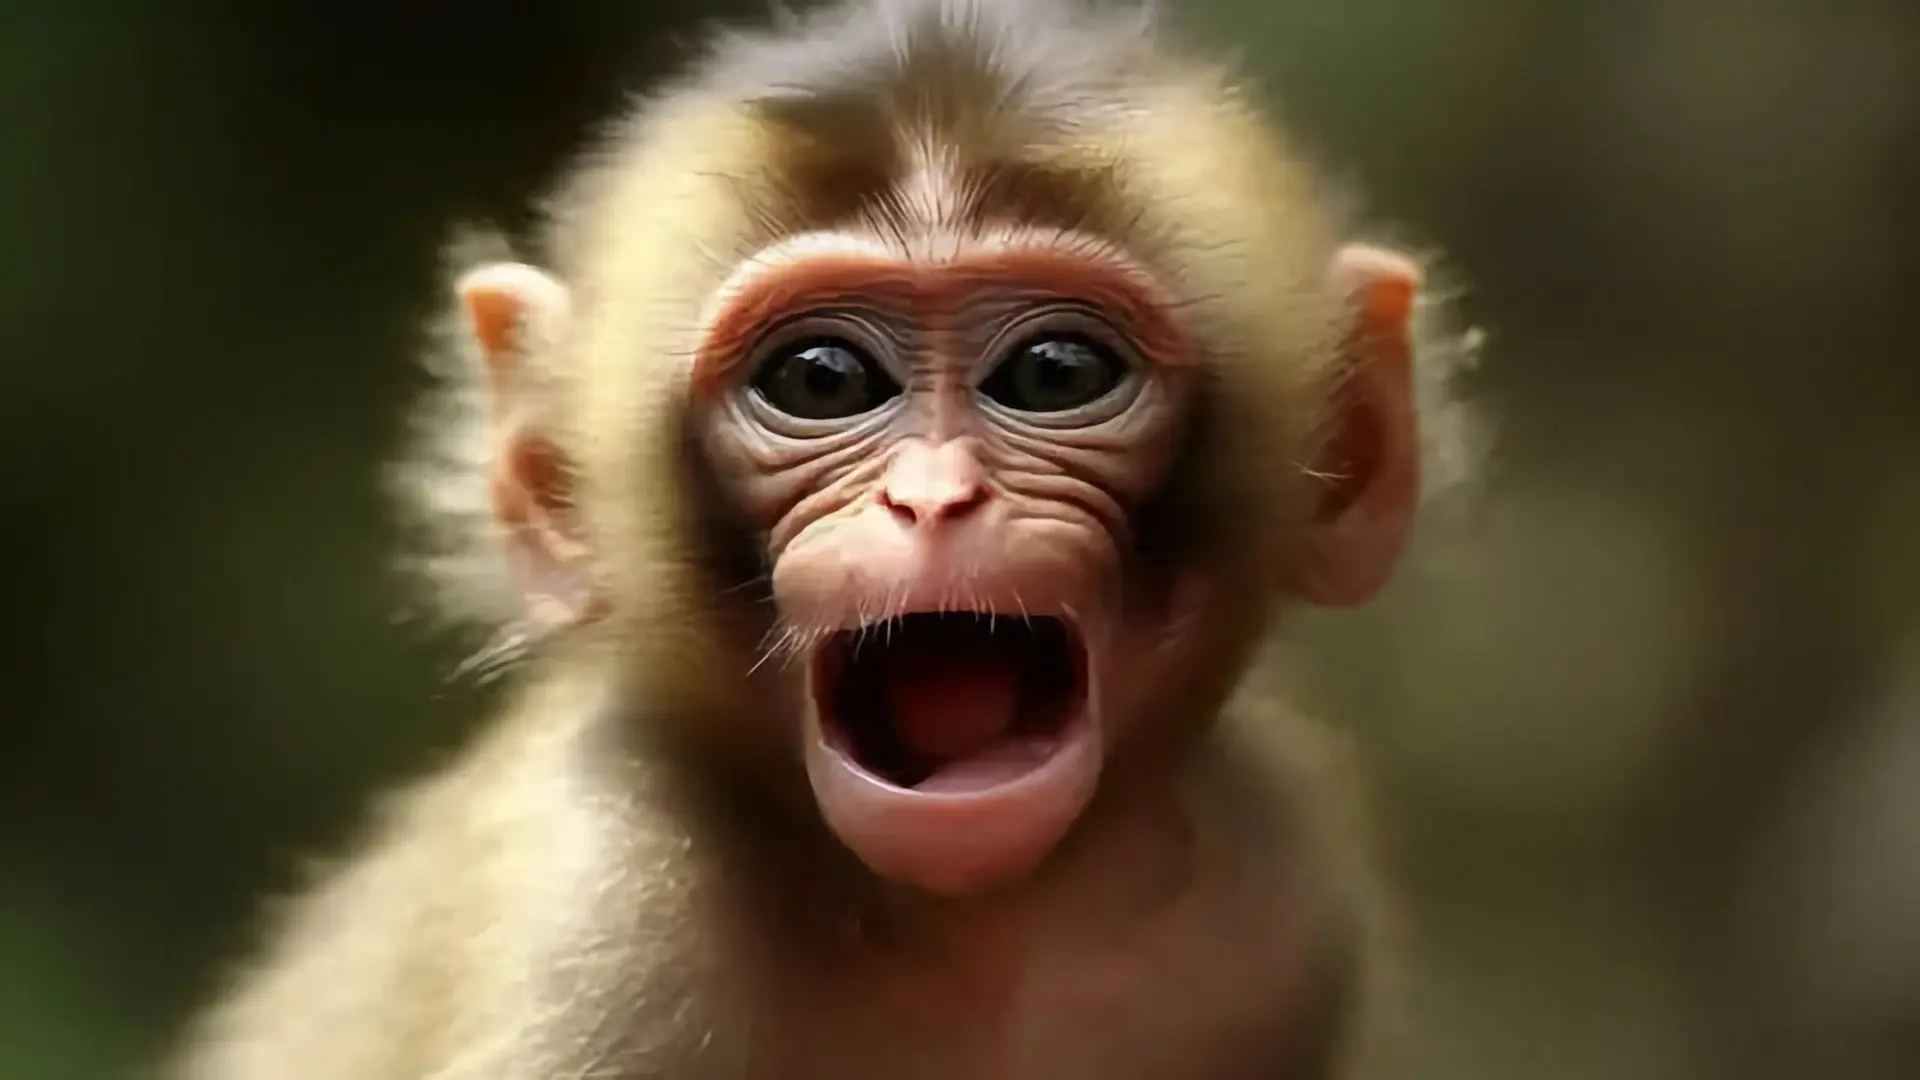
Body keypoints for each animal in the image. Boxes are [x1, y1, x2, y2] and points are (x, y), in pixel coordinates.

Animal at [162, 0, 1480, 1077]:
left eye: (1057, 373)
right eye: (821, 378)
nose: (935, 499)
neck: (964, 927)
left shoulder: (1282, 896)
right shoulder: (603, 920)